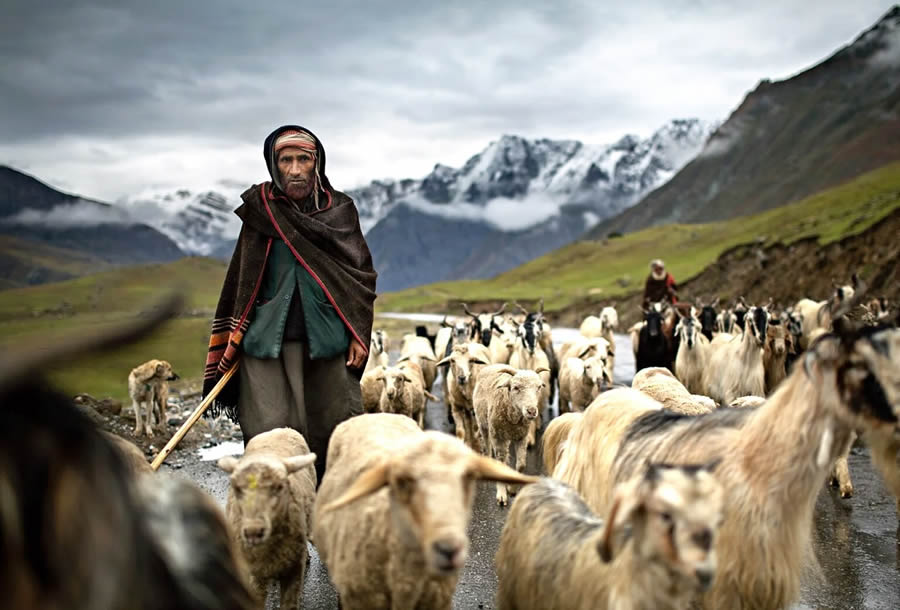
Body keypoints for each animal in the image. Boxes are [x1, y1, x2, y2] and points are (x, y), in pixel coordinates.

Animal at [218, 428, 316, 608]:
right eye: (237, 488)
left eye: (279, 487)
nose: (253, 531)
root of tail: (279, 429)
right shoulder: (252, 575)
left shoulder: (293, 571)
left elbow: (289, 604)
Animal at [474, 366, 544, 504]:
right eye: (516, 387)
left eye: (539, 387)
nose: (531, 411)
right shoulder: (497, 437)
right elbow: (500, 461)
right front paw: (501, 495)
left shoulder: (522, 437)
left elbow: (521, 465)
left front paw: (512, 489)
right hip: (484, 425)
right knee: (488, 448)